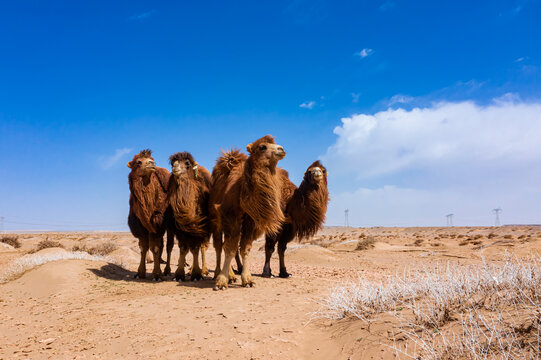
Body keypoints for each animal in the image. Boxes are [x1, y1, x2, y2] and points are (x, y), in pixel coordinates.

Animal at [126, 149, 173, 282]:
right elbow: (143, 247)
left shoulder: (158, 223)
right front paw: (140, 272)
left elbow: (155, 247)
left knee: (169, 246)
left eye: (152, 159)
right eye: (138, 162)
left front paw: (156, 275)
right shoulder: (139, 225)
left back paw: (167, 270)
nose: (152, 164)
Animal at [166, 152, 212, 282]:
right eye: (172, 162)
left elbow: (196, 248)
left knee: (202, 247)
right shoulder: (180, 230)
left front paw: (196, 274)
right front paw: (179, 274)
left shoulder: (201, 228)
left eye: (187, 163)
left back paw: (203, 270)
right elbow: (183, 248)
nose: (175, 167)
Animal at [210, 135, 286, 290]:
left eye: (275, 144)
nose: (281, 149)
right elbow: (230, 248)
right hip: (217, 221)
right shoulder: (230, 216)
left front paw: (248, 280)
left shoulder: (251, 221)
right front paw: (221, 281)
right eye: (262, 147)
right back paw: (221, 274)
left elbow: (245, 248)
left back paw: (232, 276)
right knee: (220, 246)